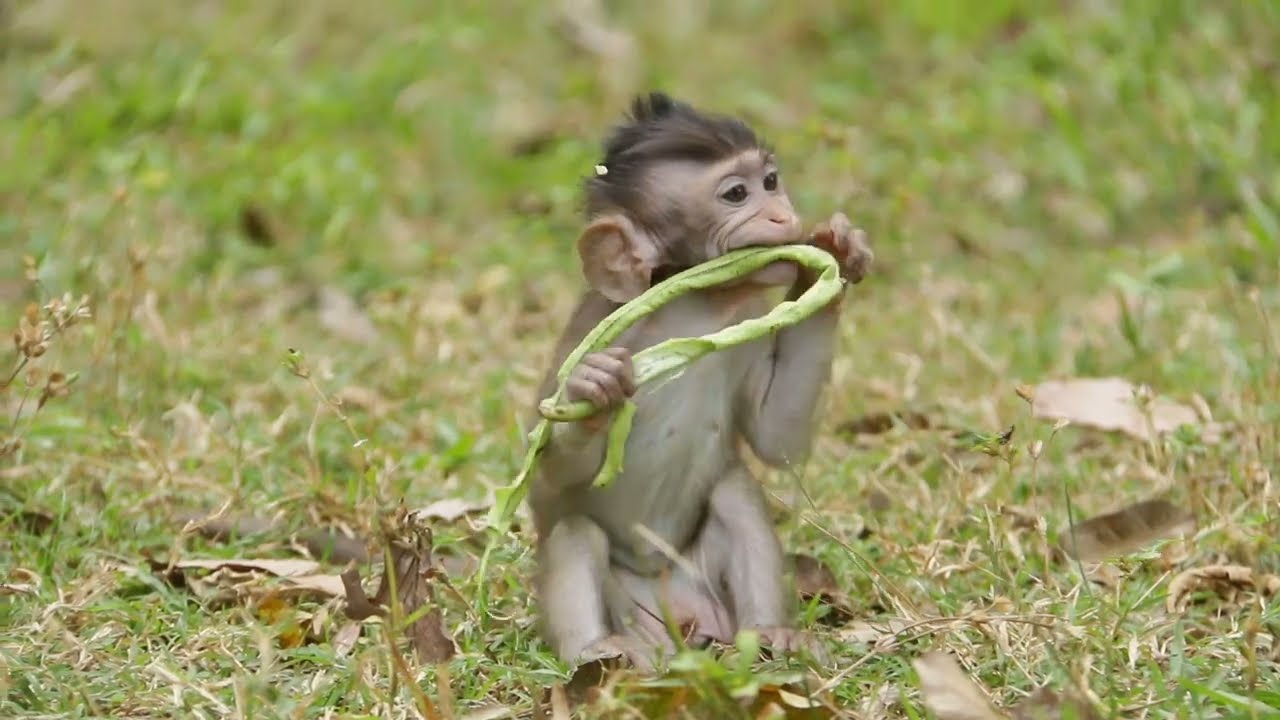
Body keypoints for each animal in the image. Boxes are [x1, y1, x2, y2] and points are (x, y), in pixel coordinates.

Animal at [526, 92, 872, 670]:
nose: (782, 213)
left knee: (734, 492)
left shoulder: (746, 322)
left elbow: (775, 439)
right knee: (575, 531)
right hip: (632, 611)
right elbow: (550, 477)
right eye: (736, 194)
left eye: (771, 181)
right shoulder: (597, 331)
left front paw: (834, 260)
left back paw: (771, 633)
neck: (693, 306)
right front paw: (591, 392)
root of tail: (679, 619)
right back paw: (599, 651)